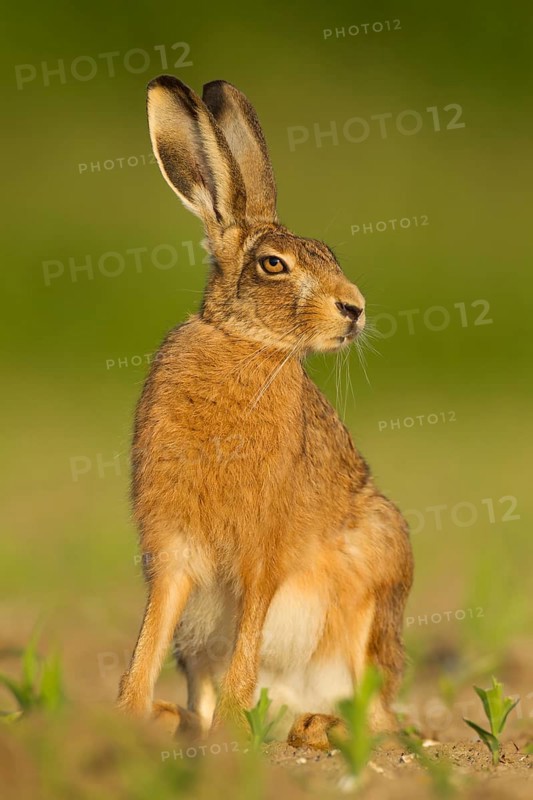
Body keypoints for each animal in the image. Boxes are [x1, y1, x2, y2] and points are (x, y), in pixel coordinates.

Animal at [117, 75, 413, 748]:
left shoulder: (263, 549)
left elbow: (250, 628)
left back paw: (313, 727)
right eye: (273, 264)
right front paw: (124, 715)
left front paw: (230, 729)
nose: (354, 309)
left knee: (380, 718)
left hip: (378, 577)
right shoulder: (172, 550)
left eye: (329, 253)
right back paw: (184, 722)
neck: (244, 341)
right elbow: (151, 631)